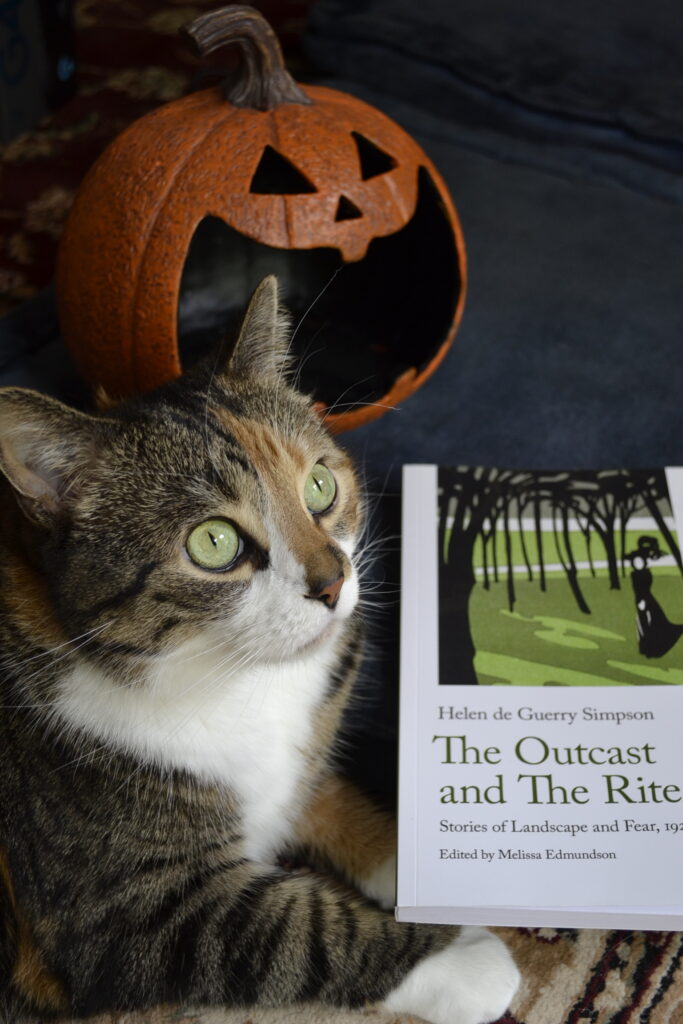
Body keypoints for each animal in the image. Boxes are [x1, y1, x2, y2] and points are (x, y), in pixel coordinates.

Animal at [0, 278, 518, 1024]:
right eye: (213, 542)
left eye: (320, 486)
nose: (333, 582)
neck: (236, 679)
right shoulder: (117, 909)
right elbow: (294, 926)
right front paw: (464, 960)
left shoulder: (300, 763)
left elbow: (343, 804)